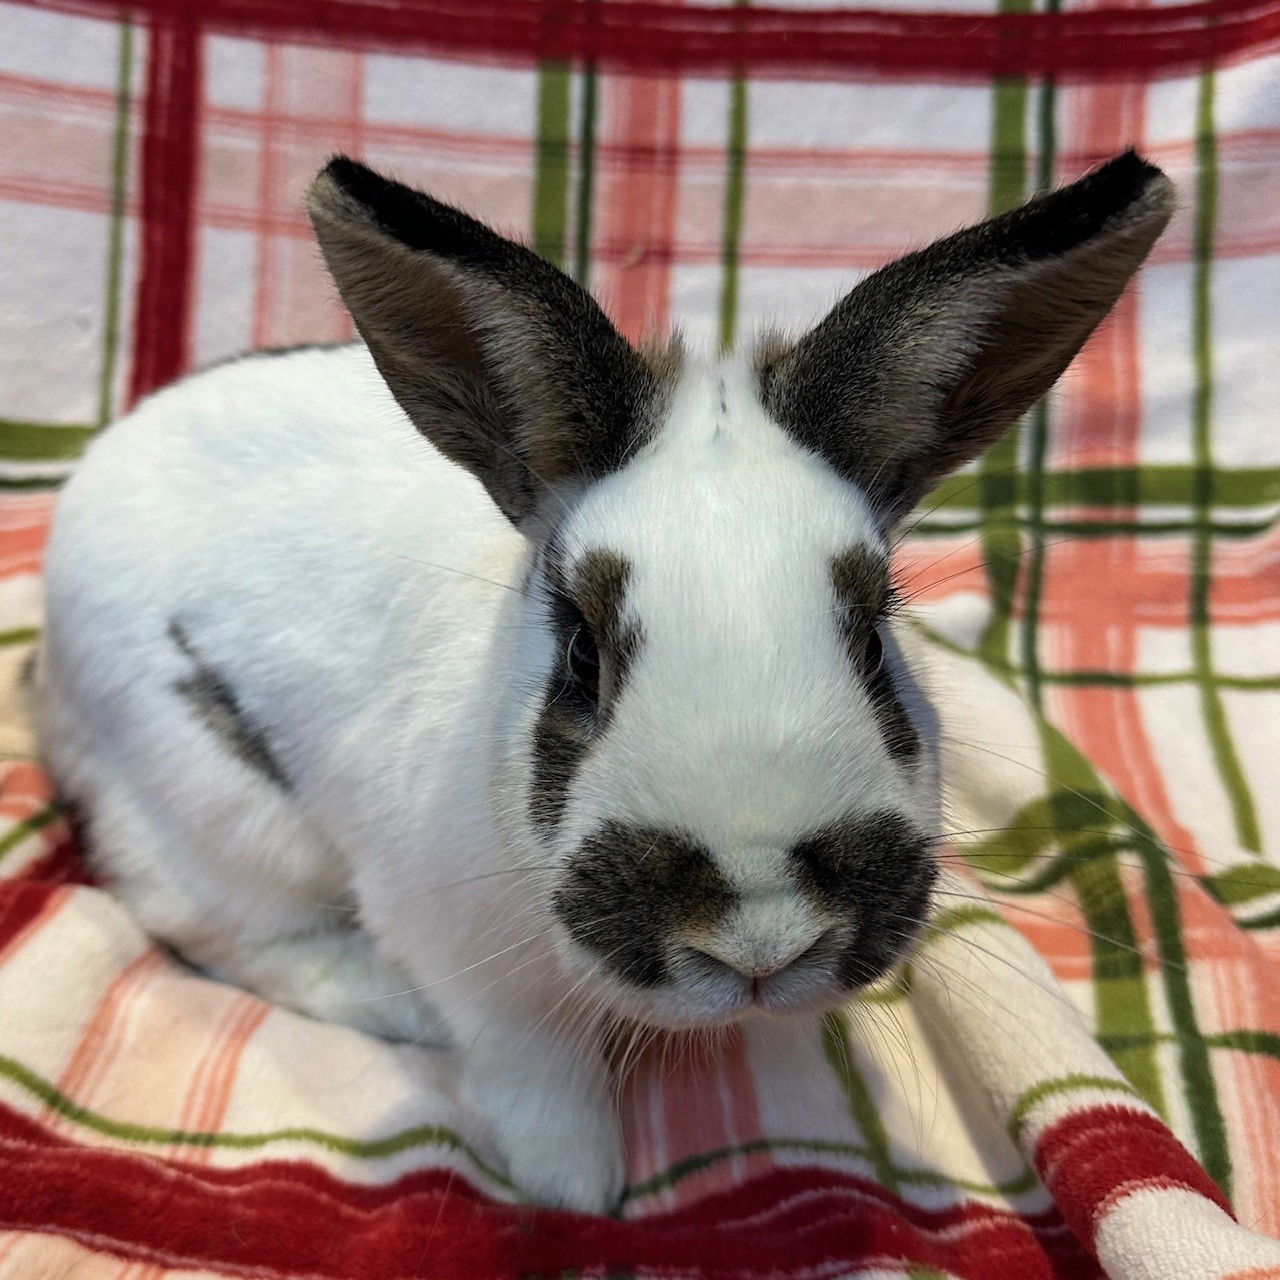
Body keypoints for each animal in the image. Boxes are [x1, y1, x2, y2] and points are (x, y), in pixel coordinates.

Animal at [32, 149, 1172, 1208]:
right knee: (205, 919)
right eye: (581, 651)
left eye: (870, 636)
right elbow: (540, 1079)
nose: (760, 934)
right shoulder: (470, 967)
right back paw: (382, 1000)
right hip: (221, 812)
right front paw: (575, 1192)